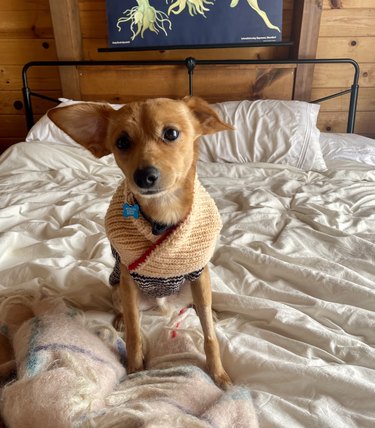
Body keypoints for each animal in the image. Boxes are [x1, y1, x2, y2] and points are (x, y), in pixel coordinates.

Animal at [48, 96, 234, 388]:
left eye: (171, 134)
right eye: (122, 142)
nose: (144, 176)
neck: (162, 214)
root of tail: (163, 308)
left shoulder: (198, 273)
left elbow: (209, 336)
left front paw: (218, 373)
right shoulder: (128, 276)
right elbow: (135, 333)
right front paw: (135, 368)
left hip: (196, 285)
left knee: (199, 305)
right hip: (119, 290)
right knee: (127, 311)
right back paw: (120, 319)